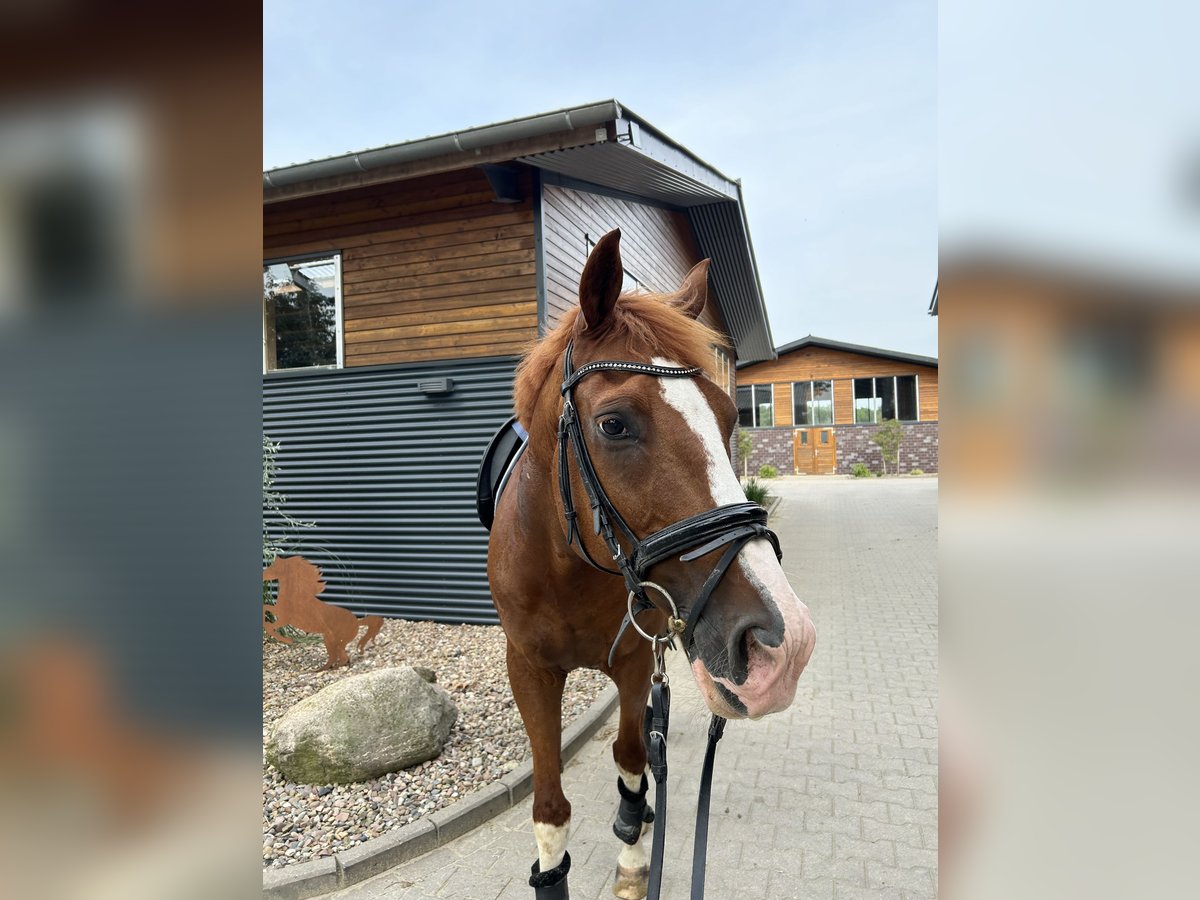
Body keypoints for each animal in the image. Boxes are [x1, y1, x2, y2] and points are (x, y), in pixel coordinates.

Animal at [484, 232, 816, 900]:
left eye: (729, 416)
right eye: (614, 424)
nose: (785, 645)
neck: (566, 568)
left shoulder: (639, 659)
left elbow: (633, 759)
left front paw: (636, 856)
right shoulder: (528, 669)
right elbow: (550, 805)